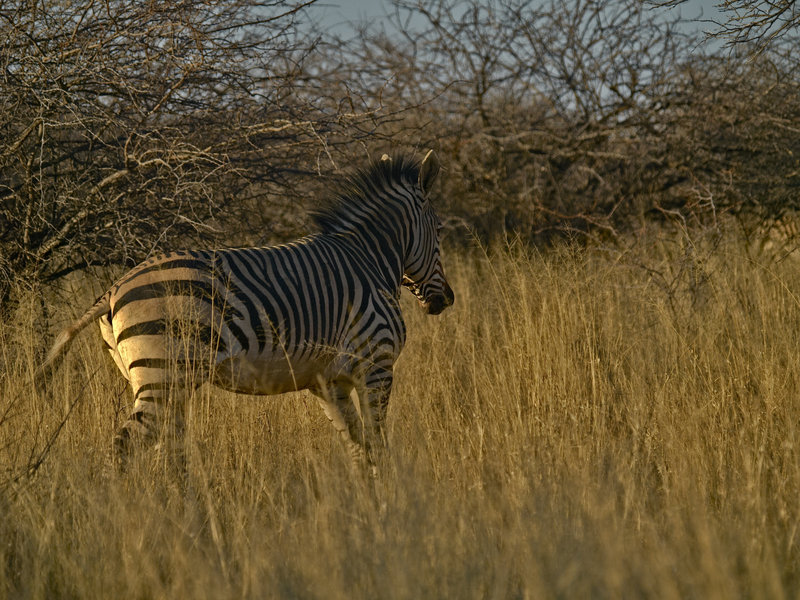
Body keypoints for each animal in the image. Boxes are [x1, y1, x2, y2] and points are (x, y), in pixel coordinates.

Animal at [41, 150, 454, 471]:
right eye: (438, 230)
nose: (446, 300)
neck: (369, 259)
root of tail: (112, 289)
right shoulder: (376, 364)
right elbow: (377, 446)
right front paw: (389, 507)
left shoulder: (329, 381)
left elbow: (359, 448)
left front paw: (366, 506)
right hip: (163, 374)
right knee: (125, 447)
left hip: (156, 379)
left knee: (168, 452)